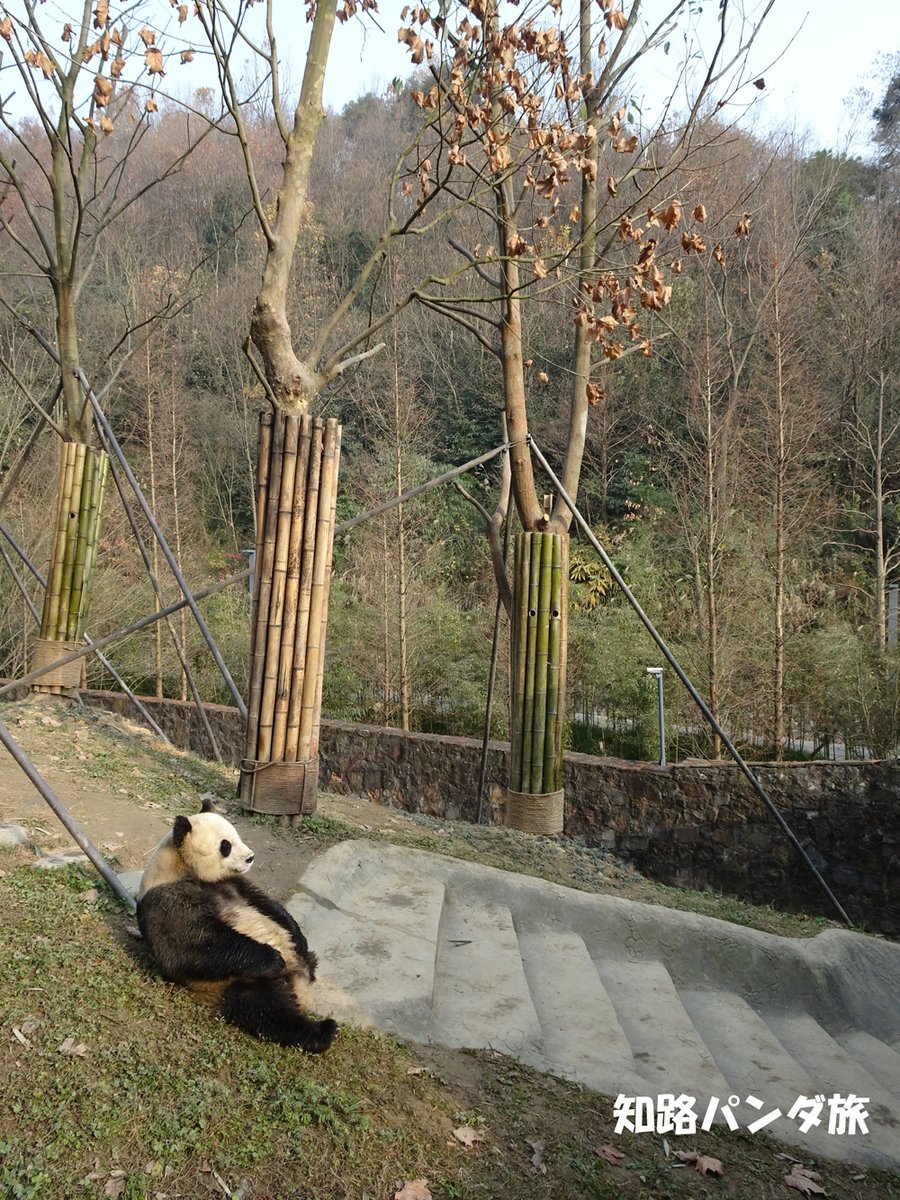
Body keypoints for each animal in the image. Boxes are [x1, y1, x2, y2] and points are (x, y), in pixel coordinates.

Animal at [137, 799, 337, 1054]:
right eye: (226, 846)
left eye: (237, 835)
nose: (250, 857)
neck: (180, 865)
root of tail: (299, 989)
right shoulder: (168, 899)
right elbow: (193, 946)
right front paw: (273, 957)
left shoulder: (234, 882)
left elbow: (267, 903)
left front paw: (297, 936)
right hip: (237, 981)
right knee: (265, 1009)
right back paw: (322, 1031)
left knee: (305, 962)